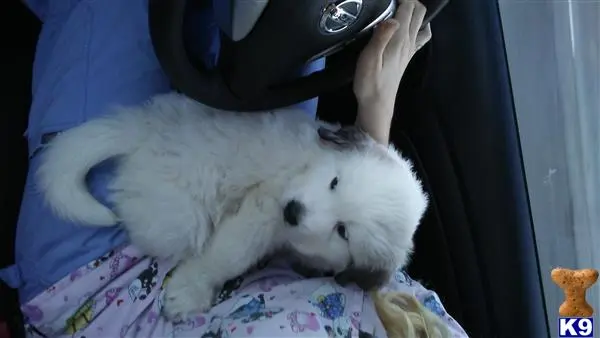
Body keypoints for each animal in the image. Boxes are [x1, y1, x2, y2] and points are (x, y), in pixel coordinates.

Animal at [36, 93, 426, 320]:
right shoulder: (264, 207)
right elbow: (228, 255)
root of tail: (146, 129)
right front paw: (189, 291)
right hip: (184, 220)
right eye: (335, 182)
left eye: (343, 231)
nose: (293, 210)